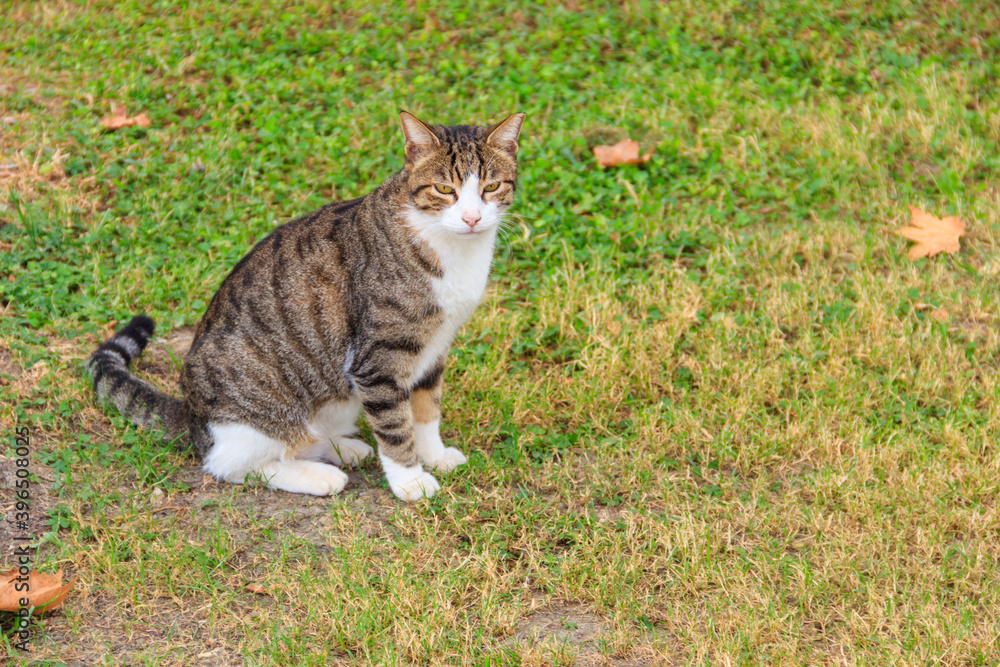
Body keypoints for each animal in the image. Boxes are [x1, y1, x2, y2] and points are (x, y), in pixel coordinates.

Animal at [88, 111, 524, 500]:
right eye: (445, 190)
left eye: (491, 187)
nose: (472, 218)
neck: (453, 250)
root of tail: (192, 415)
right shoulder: (379, 359)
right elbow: (396, 426)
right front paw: (410, 481)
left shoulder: (434, 347)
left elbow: (425, 410)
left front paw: (433, 455)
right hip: (260, 410)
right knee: (231, 464)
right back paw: (318, 476)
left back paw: (342, 448)